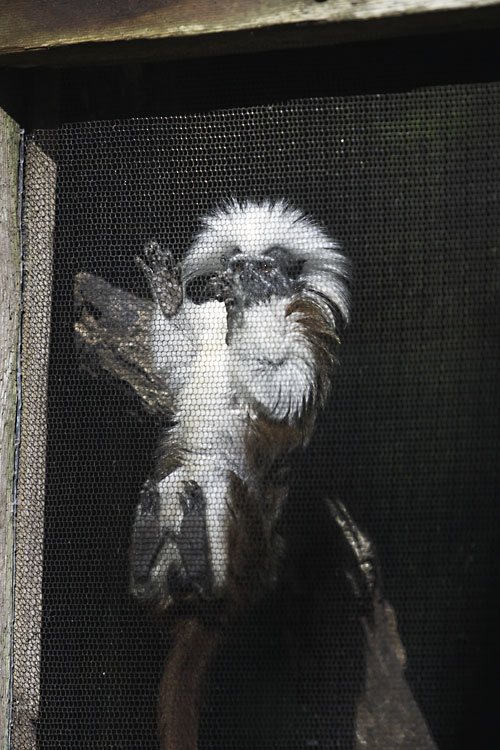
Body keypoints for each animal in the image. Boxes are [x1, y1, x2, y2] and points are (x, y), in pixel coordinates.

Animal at [129, 199, 350, 749]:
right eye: (239, 262)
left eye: (266, 267)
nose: (246, 275)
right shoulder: (209, 326)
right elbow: (181, 363)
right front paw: (168, 301)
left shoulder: (307, 328)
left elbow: (282, 386)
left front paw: (247, 314)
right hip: (183, 494)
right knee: (167, 506)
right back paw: (152, 560)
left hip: (246, 530)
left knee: (218, 493)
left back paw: (201, 564)